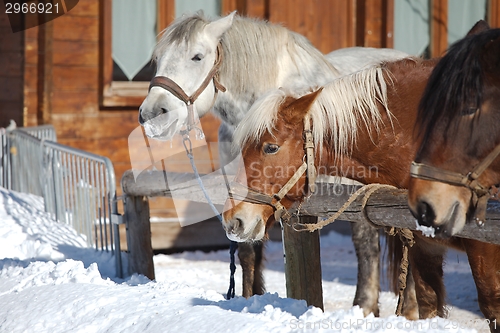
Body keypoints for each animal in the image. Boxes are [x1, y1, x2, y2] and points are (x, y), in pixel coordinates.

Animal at [139, 11, 408, 316]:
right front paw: (250, 298)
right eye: (158, 59)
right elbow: (247, 248)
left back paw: (366, 306)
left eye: (197, 56)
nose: (151, 114)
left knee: (370, 245)